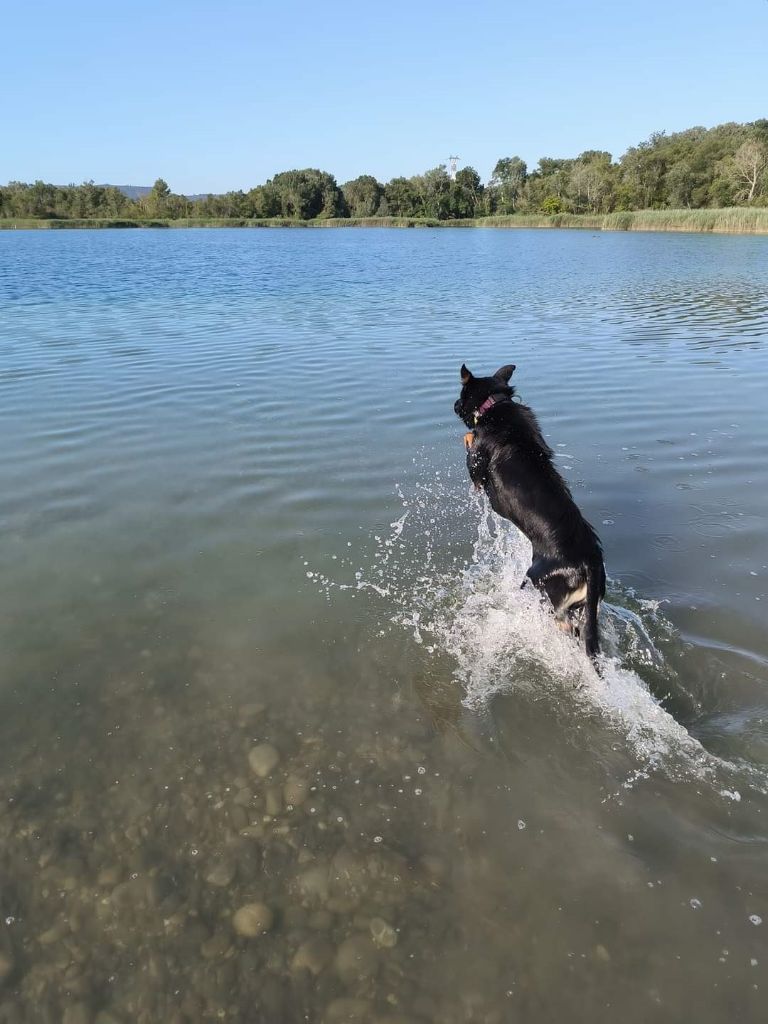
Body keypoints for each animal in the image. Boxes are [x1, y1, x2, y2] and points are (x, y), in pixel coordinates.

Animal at [450, 364, 606, 659]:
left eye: (460, 395)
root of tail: (588, 563)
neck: (494, 403)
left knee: (563, 625)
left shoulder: (476, 467)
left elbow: (470, 440)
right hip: (586, 606)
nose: (453, 405)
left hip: (538, 585)